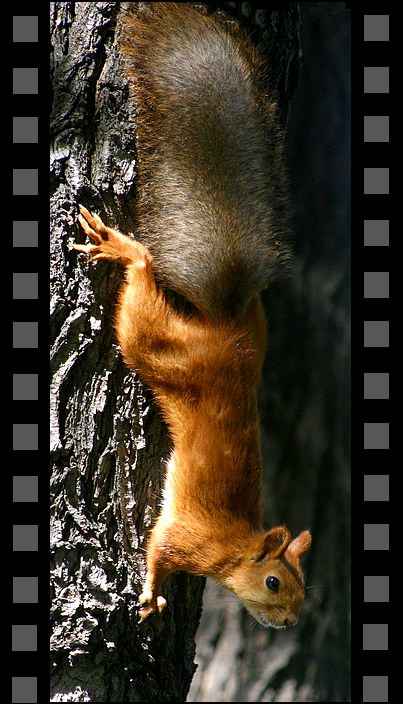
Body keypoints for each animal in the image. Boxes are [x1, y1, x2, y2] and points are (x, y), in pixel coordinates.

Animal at [72, 2, 311, 629]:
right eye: (274, 582)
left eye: (304, 590)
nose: (289, 622)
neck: (235, 546)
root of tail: (228, 331)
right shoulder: (187, 534)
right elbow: (158, 548)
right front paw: (152, 593)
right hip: (155, 344)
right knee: (142, 280)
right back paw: (123, 249)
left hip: (253, 329)